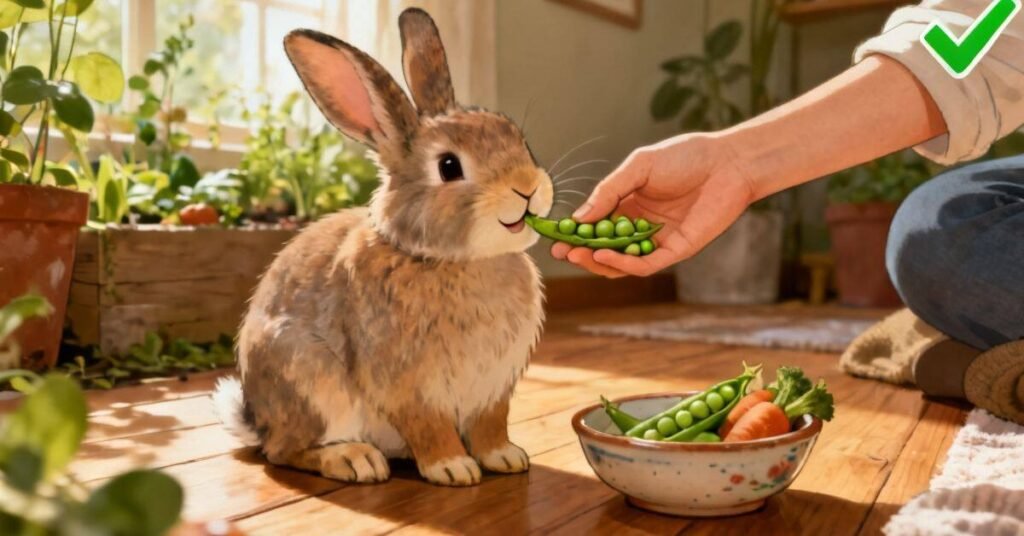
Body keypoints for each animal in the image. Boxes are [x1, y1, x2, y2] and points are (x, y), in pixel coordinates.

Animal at [211, 8, 553, 487]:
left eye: (516, 137)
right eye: (449, 166)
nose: (527, 188)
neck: (453, 259)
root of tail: (256, 419)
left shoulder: (493, 387)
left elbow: (491, 425)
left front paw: (505, 458)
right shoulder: (406, 383)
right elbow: (428, 427)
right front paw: (453, 468)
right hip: (312, 383)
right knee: (282, 451)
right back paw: (353, 460)